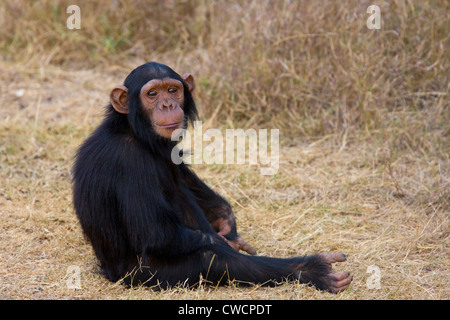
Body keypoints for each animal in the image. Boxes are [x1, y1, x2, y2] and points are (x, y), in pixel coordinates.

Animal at [72, 62, 354, 292]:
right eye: (152, 94)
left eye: (172, 90)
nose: (167, 104)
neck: (132, 130)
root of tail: (108, 272)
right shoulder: (130, 163)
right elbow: (156, 233)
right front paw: (226, 241)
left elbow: (180, 172)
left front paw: (226, 222)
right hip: (144, 275)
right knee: (211, 260)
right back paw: (311, 271)